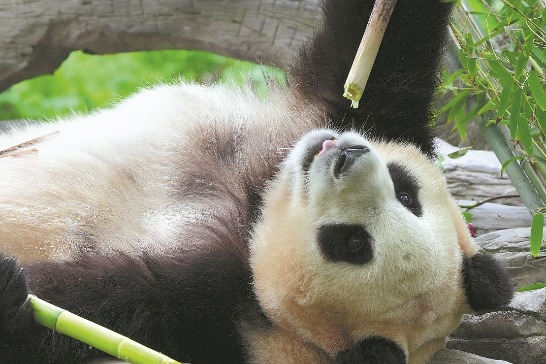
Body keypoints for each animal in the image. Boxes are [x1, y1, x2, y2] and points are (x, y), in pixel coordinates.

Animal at [0, 0, 512, 364]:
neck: (258, 208)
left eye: (352, 244)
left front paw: (11, 298)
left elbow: (78, 318)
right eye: (406, 194)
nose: (346, 156)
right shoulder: (351, 114)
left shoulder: (208, 315)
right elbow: (383, 47)